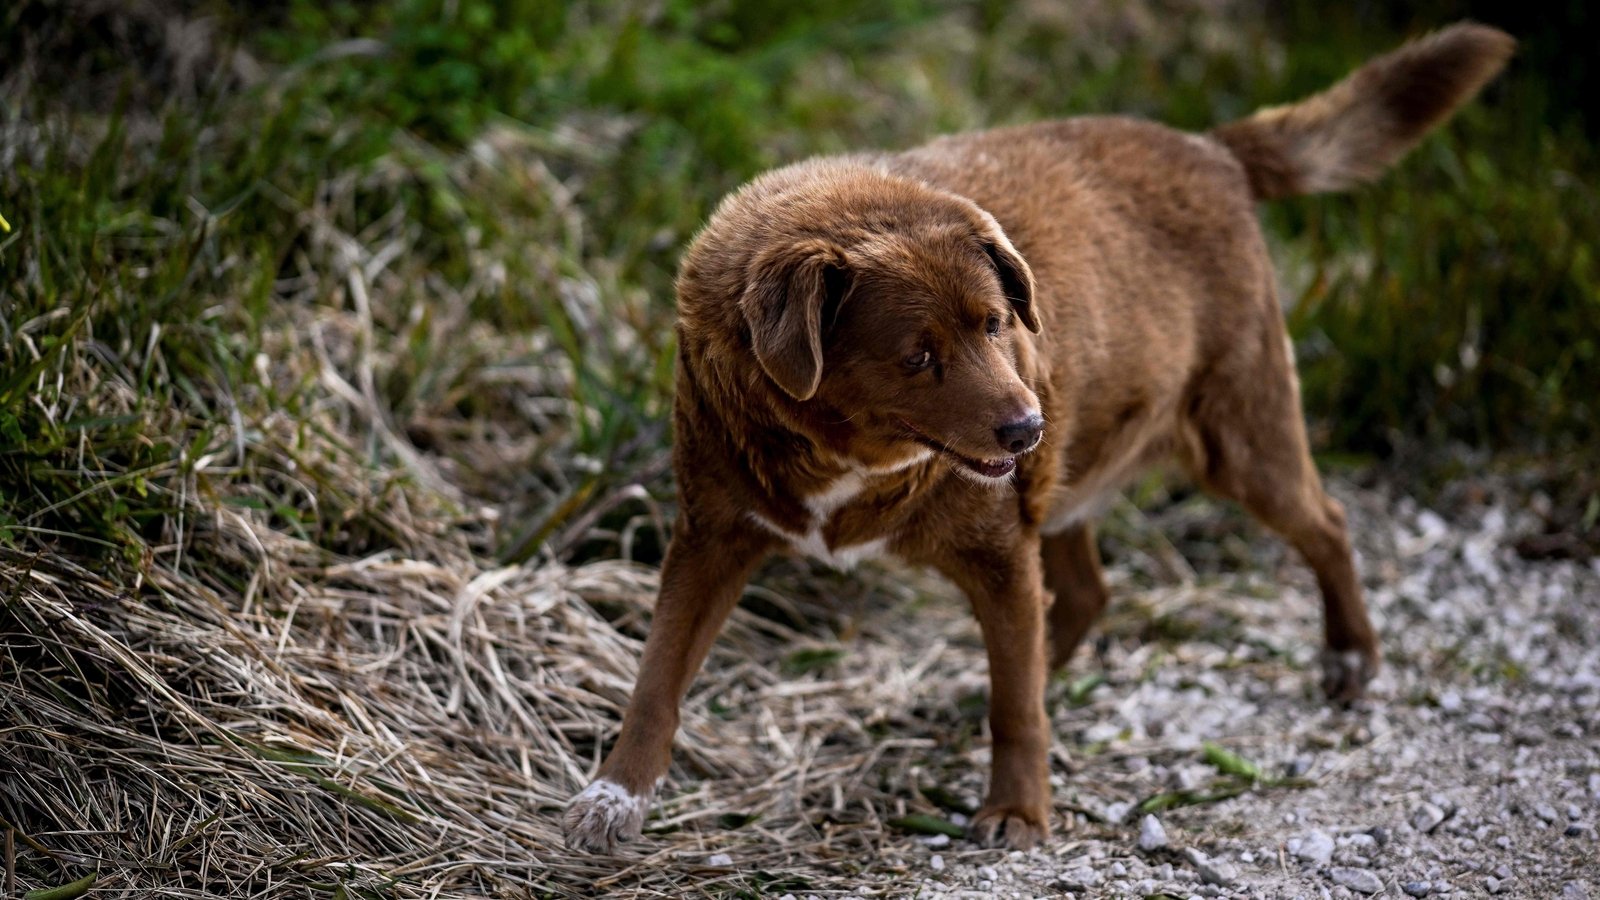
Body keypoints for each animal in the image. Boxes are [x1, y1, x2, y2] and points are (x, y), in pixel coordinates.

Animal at [563, 21, 1510, 845]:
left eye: (994, 324)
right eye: (918, 356)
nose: (1026, 427)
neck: (850, 457)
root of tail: (1211, 149)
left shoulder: (996, 548)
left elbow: (1014, 705)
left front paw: (1017, 811)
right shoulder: (711, 535)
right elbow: (657, 674)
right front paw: (614, 794)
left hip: (1236, 434)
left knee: (1324, 523)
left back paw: (1350, 657)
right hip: (1072, 476)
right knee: (1084, 594)